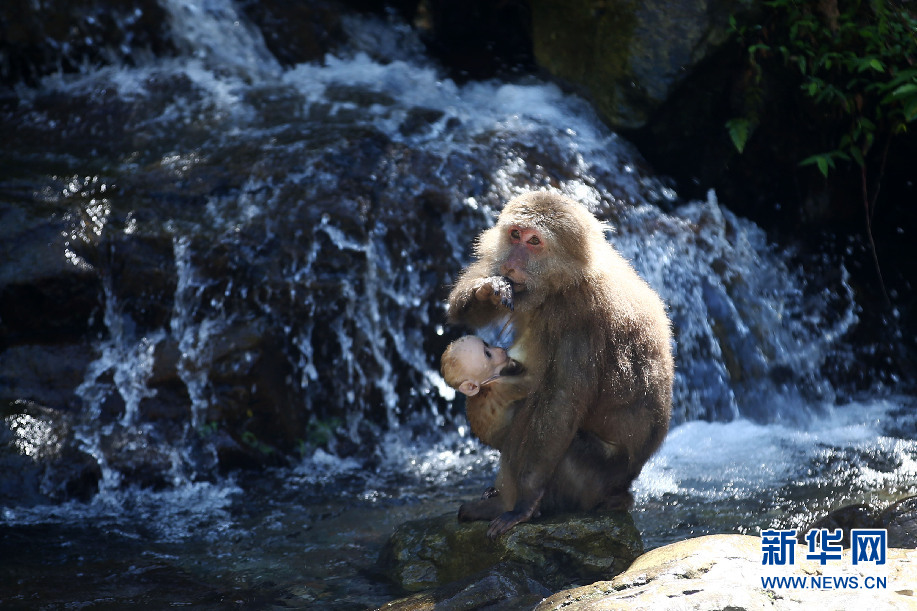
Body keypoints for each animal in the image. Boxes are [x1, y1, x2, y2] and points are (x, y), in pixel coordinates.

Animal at [450, 191, 672, 540]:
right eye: (515, 234)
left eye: (534, 241)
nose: (511, 263)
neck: (564, 284)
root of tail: (622, 491)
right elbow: (464, 313)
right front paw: (487, 289)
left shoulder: (582, 324)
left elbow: (560, 405)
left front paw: (523, 505)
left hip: (589, 480)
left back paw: (508, 503)